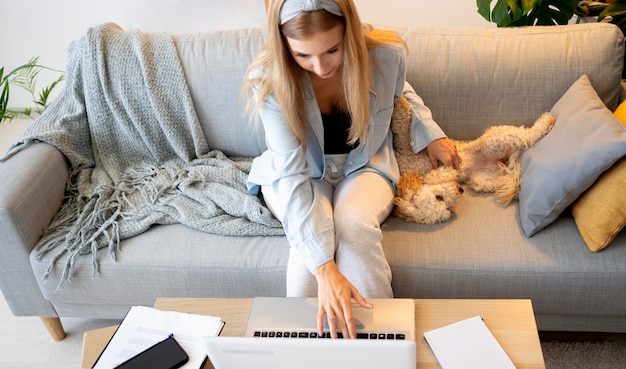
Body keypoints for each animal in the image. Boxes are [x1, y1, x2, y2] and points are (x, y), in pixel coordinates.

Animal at [392, 96, 552, 223]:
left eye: (438, 197)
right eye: (448, 207)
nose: (460, 189)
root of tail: (502, 163)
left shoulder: (422, 154)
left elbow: (404, 129)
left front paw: (400, 102)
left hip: (491, 141)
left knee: (526, 136)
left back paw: (546, 122)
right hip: (481, 179)